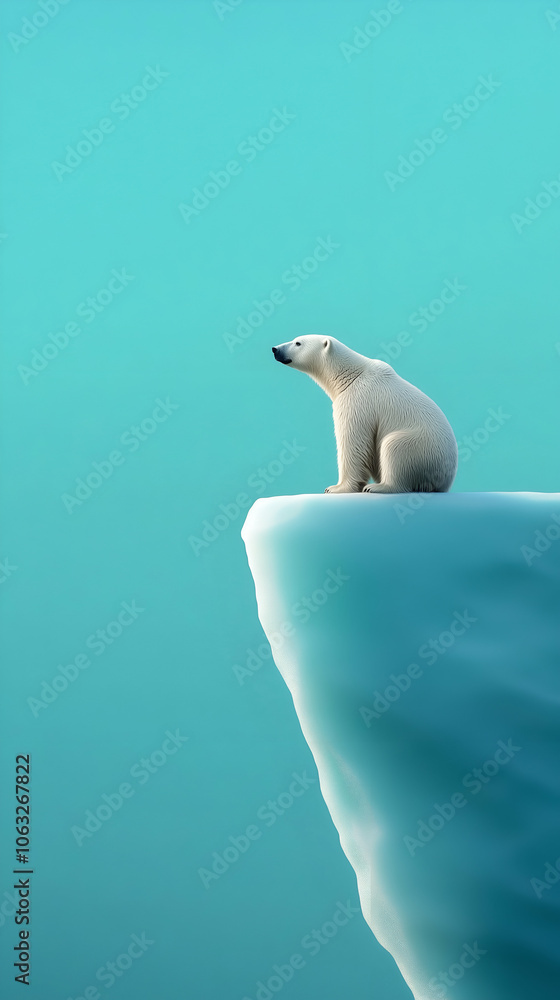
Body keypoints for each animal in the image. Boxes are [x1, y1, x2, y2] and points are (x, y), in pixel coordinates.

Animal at [272, 335, 458, 494]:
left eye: (298, 343)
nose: (275, 349)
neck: (350, 376)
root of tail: (445, 481)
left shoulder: (357, 401)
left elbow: (353, 443)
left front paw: (336, 488)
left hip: (422, 447)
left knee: (394, 446)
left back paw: (379, 487)